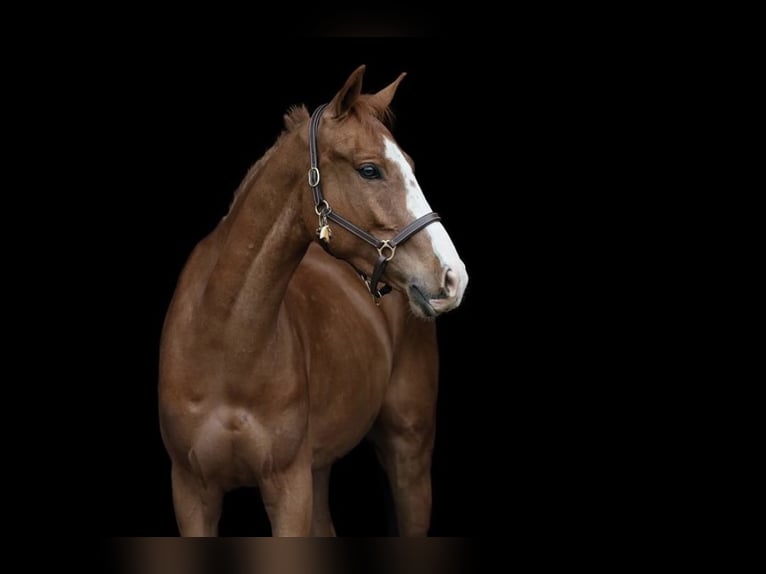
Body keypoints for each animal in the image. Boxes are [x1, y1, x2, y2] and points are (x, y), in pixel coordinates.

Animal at [158, 67, 468, 540]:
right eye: (370, 169)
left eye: (412, 166)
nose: (453, 277)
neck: (223, 341)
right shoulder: (192, 491)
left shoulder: (289, 488)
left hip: (409, 450)